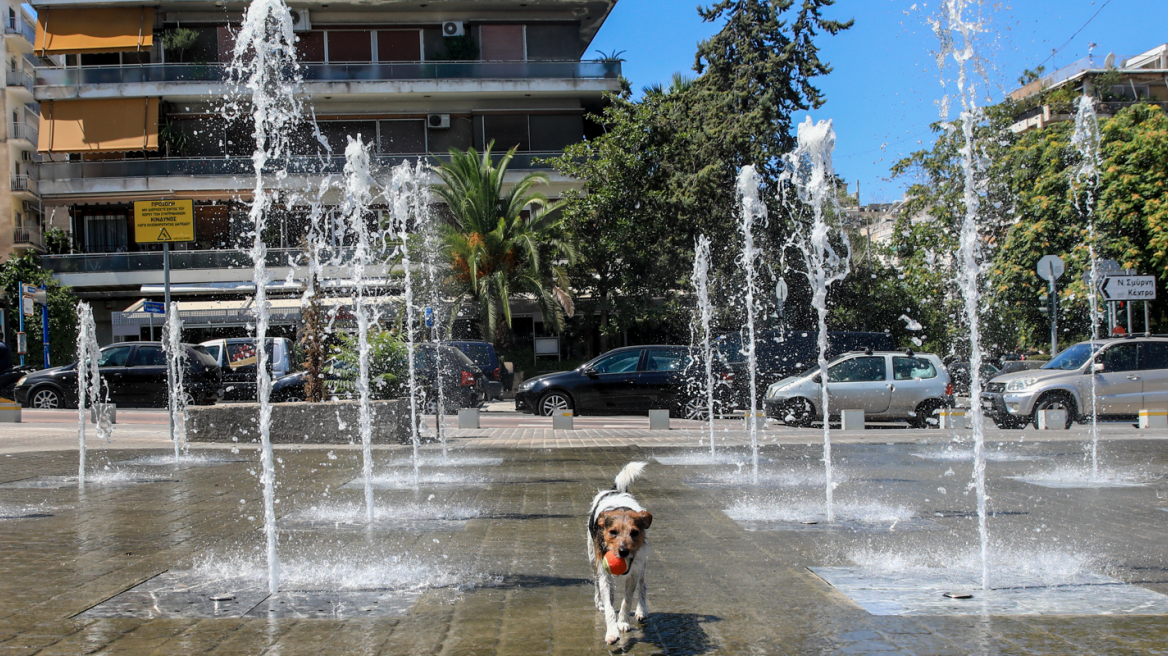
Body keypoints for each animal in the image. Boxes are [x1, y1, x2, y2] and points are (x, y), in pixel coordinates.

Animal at [588, 459, 654, 644]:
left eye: (634, 532)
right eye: (613, 532)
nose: (623, 551)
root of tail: (616, 490)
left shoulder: (634, 571)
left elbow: (627, 599)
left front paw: (623, 622)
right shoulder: (603, 572)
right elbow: (609, 606)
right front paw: (612, 632)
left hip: (642, 564)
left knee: (643, 585)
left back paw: (641, 610)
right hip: (593, 560)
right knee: (597, 584)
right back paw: (601, 602)